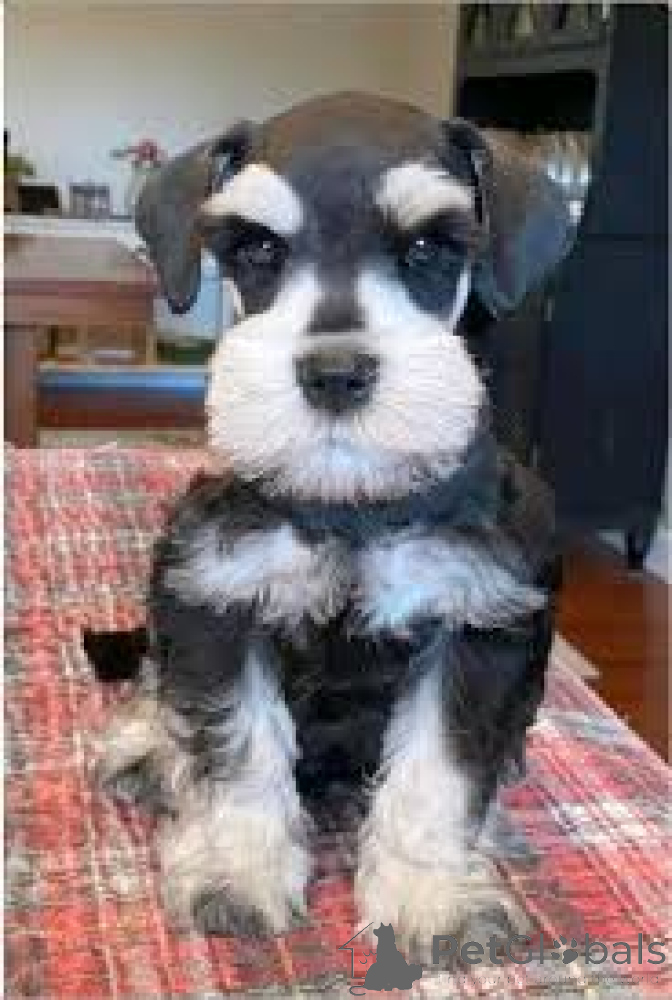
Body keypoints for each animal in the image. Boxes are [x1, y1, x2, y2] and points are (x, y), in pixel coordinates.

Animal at [85, 92, 570, 944]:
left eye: (428, 247)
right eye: (257, 248)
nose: (335, 373)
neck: (352, 505)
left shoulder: (476, 628)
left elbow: (437, 772)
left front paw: (430, 895)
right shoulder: (217, 602)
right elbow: (238, 748)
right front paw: (236, 872)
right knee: (155, 683)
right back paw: (146, 751)